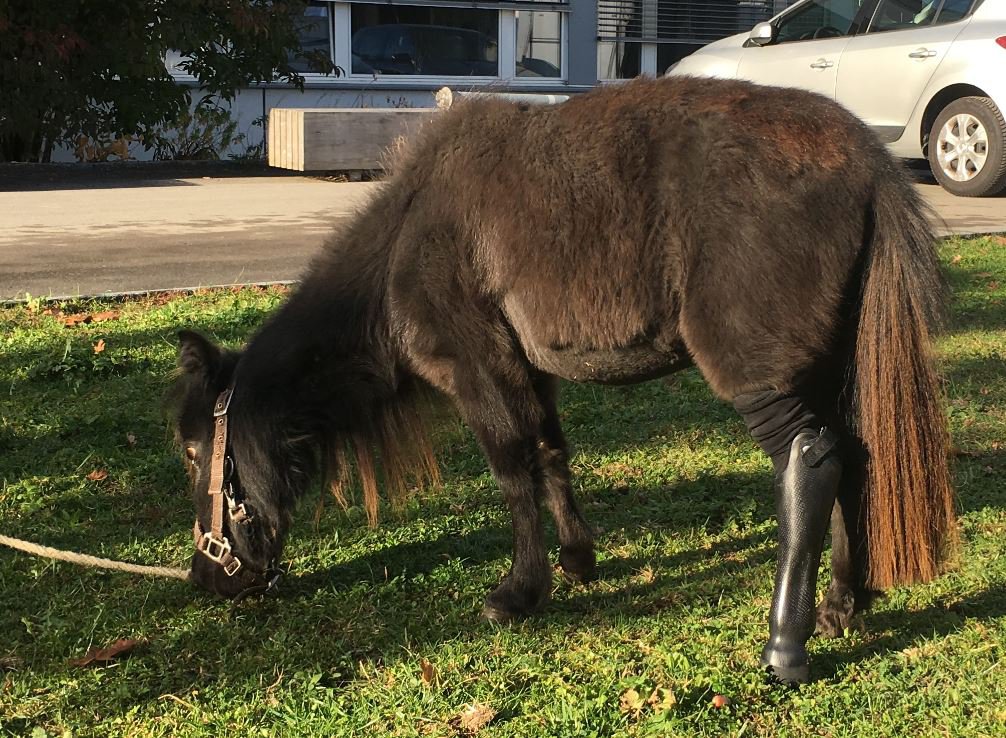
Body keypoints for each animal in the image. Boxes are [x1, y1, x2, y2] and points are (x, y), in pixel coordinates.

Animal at [173, 75, 957, 683]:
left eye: (191, 450)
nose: (207, 579)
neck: (406, 239)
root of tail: (867, 160)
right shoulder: (530, 372)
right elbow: (551, 457)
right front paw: (579, 560)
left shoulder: (478, 372)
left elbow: (513, 474)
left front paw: (521, 591)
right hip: (822, 366)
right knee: (851, 455)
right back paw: (841, 604)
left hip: (757, 372)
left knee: (809, 462)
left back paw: (784, 645)